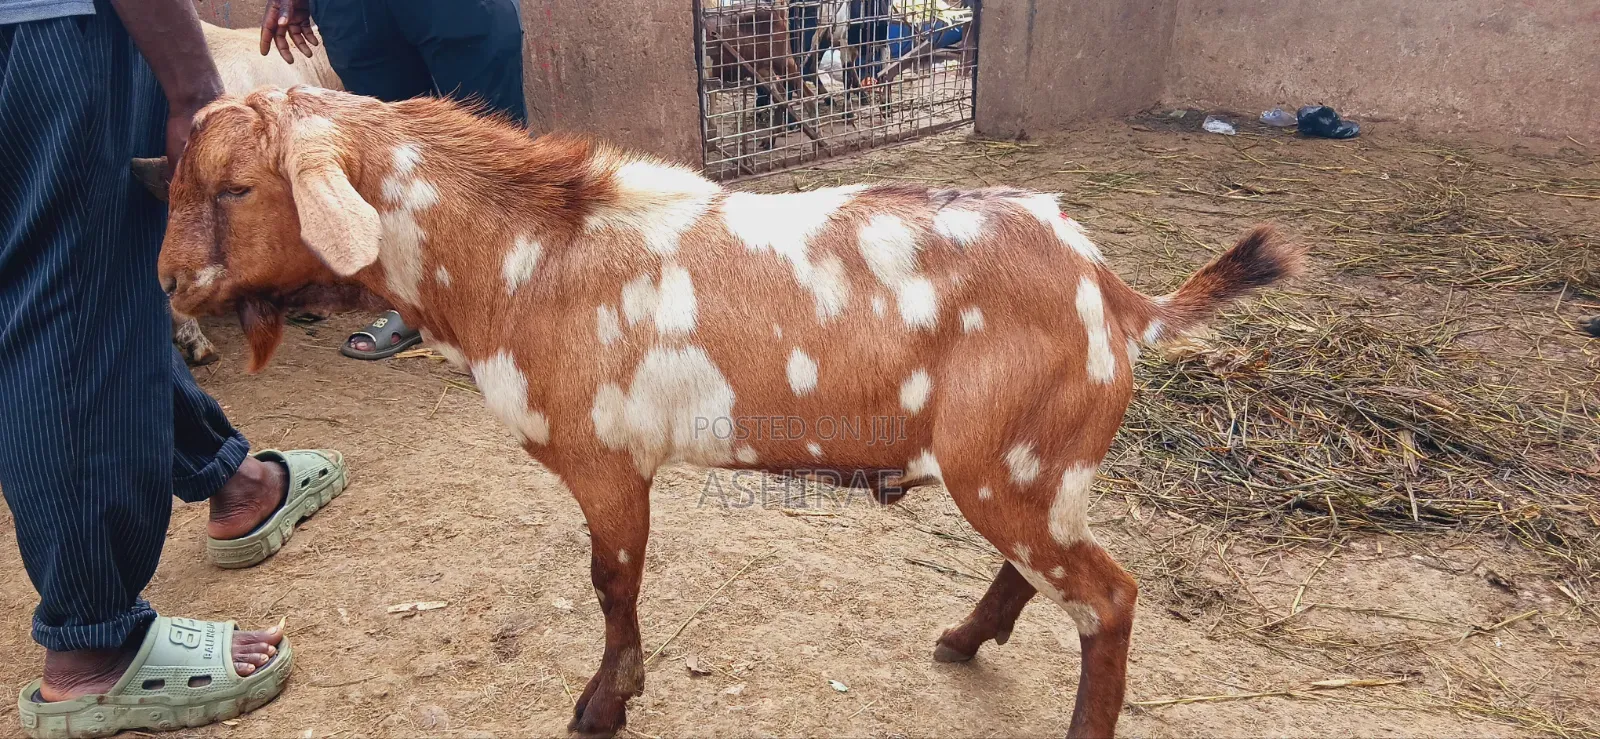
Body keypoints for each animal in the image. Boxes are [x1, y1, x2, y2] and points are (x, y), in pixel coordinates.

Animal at [155, 86, 1303, 738]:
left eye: (239, 187)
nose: (167, 282)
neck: (522, 260)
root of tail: (1117, 293)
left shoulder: (605, 458)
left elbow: (611, 582)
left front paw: (602, 705)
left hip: (1015, 463)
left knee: (1105, 597)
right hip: (1025, 469)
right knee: (1046, 572)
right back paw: (962, 638)